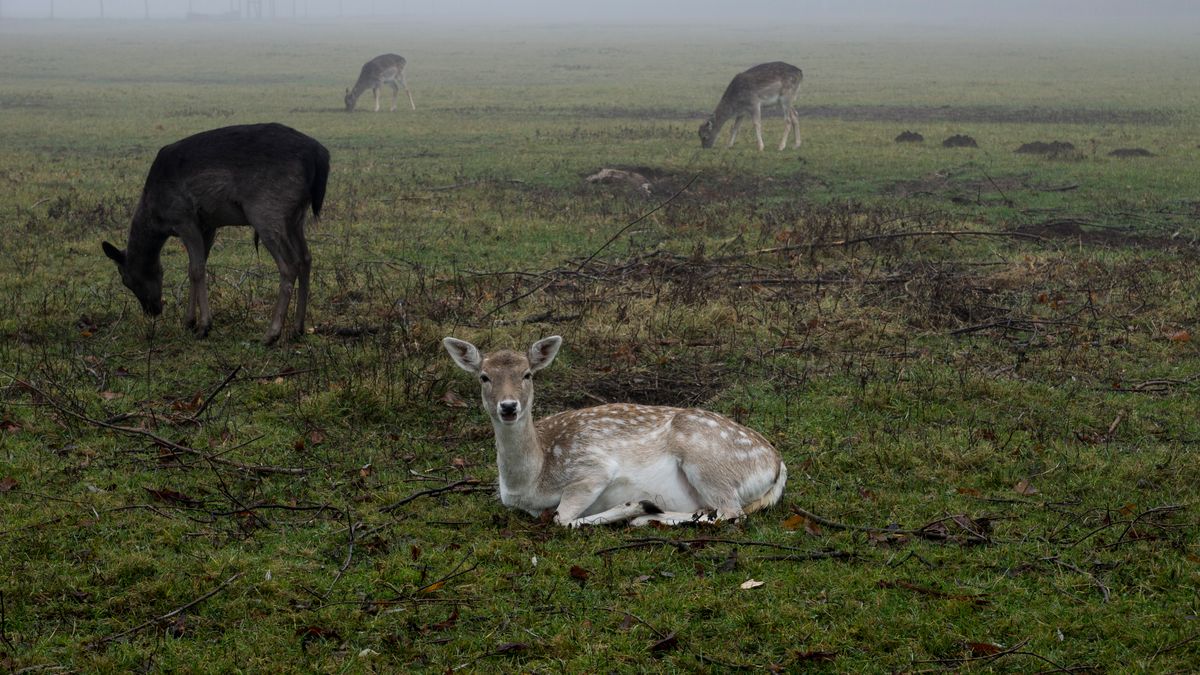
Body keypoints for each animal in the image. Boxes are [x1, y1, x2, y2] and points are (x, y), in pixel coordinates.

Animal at [100, 121, 328, 343]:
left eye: (126, 279)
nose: (152, 310)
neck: (156, 215)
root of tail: (319, 154)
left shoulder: (183, 218)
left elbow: (196, 269)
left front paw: (203, 326)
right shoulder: (208, 225)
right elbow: (197, 266)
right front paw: (189, 322)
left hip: (266, 211)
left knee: (290, 264)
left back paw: (271, 334)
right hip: (296, 216)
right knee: (306, 258)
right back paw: (297, 329)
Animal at [441, 333, 787, 526]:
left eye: (528, 374)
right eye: (484, 377)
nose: (509, 406)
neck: (530, 482)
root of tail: (777, 465)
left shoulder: (592, 469)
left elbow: (562, 519)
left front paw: (633, 505)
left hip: (706, 460)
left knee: (731, 512)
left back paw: (647, 514)